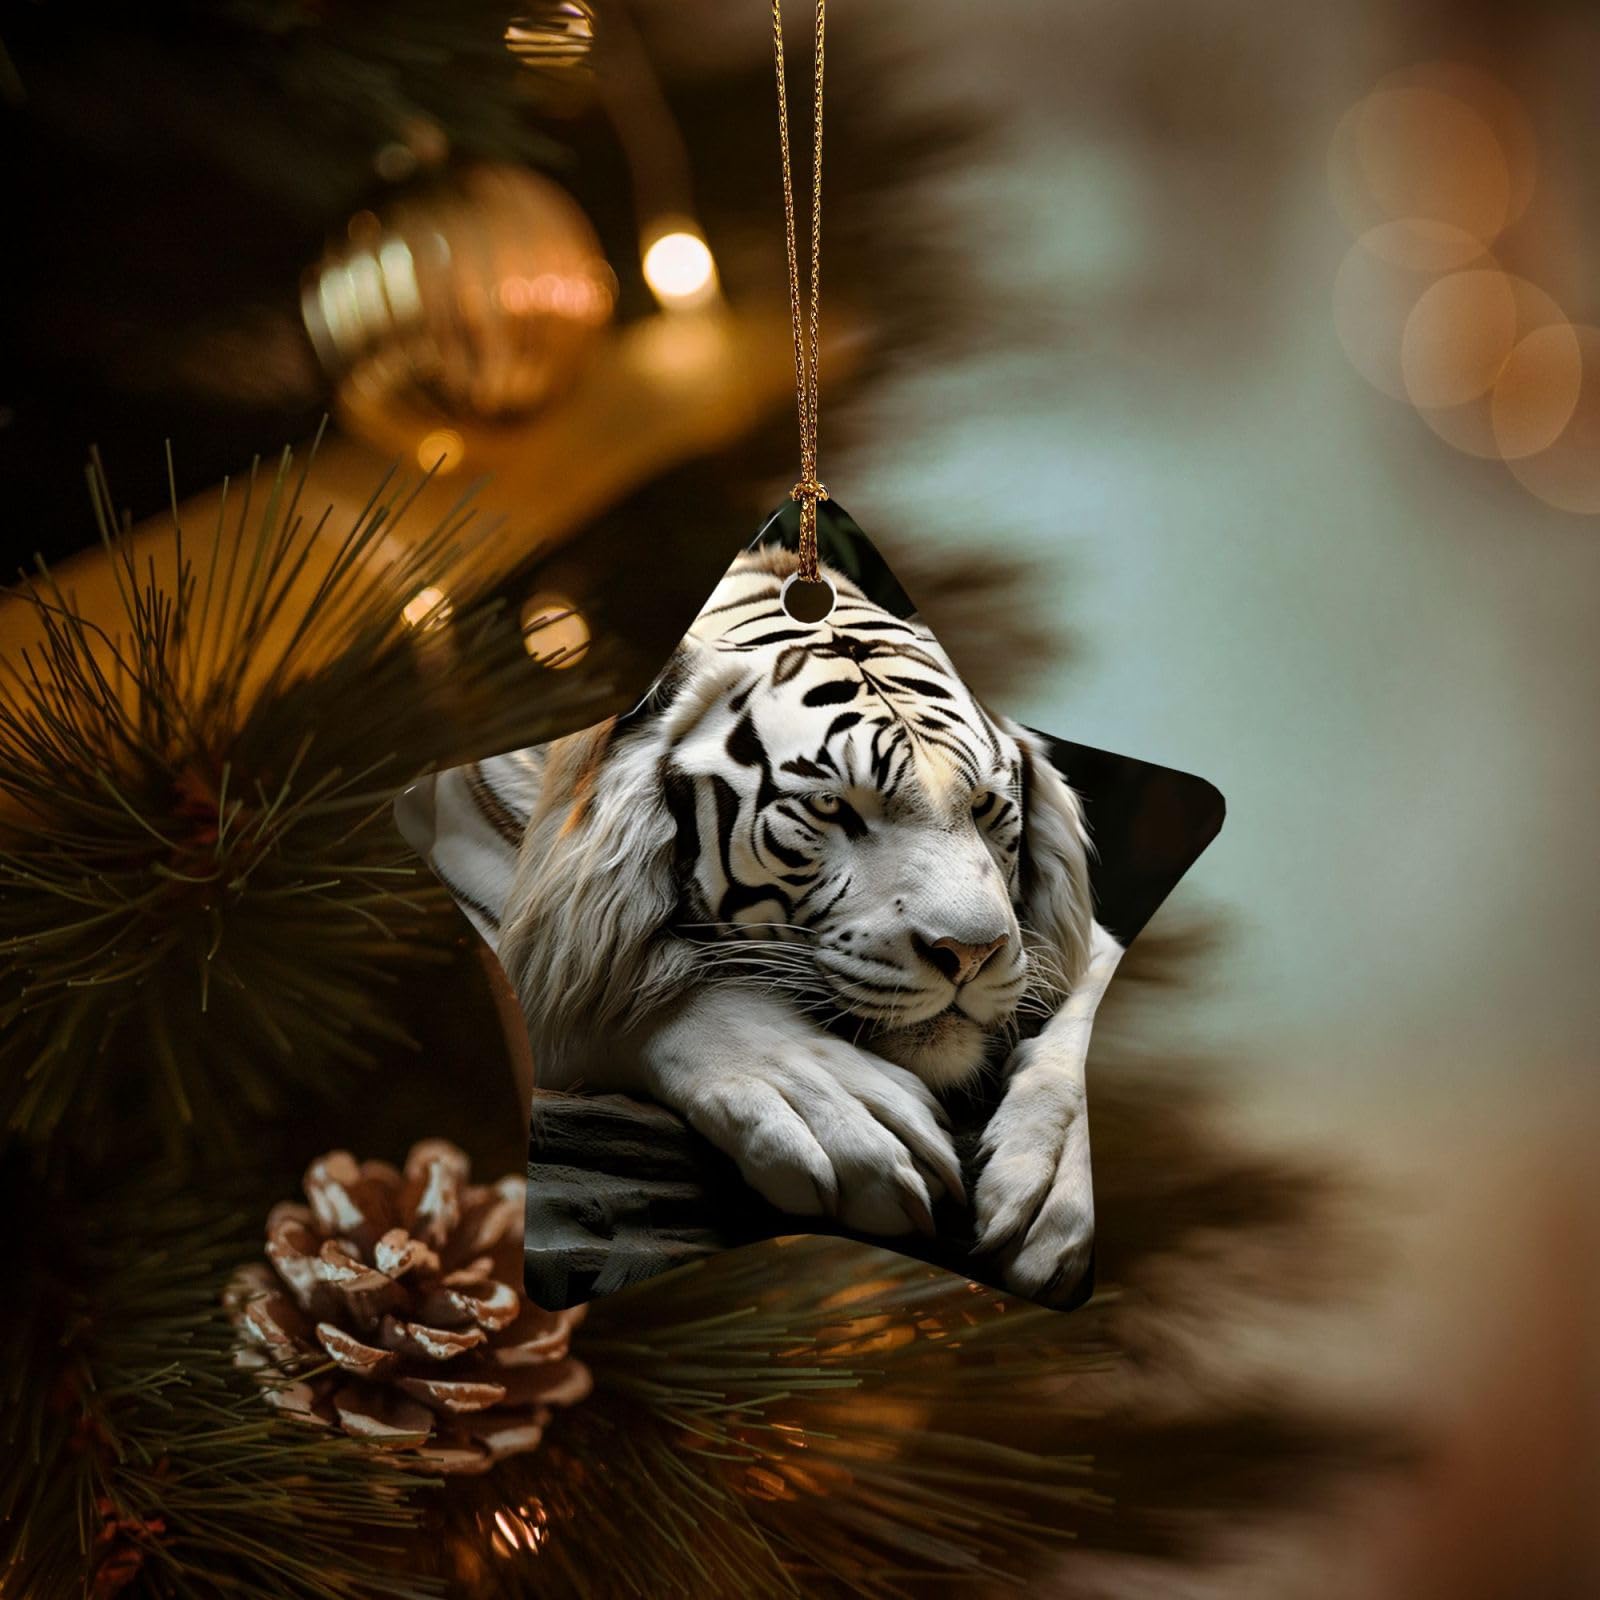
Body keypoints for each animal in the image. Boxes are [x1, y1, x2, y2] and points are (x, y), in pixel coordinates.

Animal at [404, 546, 1123, 1302]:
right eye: (833, 808)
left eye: (984, 806)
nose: (973, 953)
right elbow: (640, 992)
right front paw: (840, 1114)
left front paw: (1057, 1181)